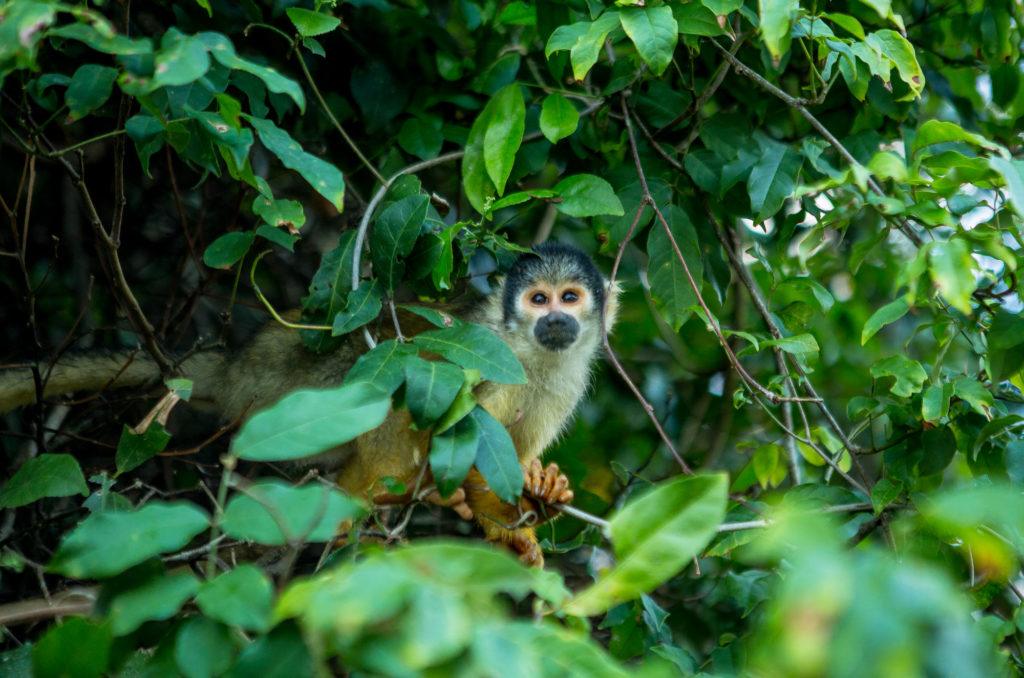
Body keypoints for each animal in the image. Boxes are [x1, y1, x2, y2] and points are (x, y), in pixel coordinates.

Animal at [0, 241, 614, 565]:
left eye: (569, 298)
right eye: (537, 299)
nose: (555, 320)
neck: (533, 354)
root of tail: (237, 367)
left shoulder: (566, 380)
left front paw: (535, 500)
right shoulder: (493, 356)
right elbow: (458, 434)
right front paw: (504, 516)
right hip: (283, 390)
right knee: (389, 381)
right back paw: (369, 496)